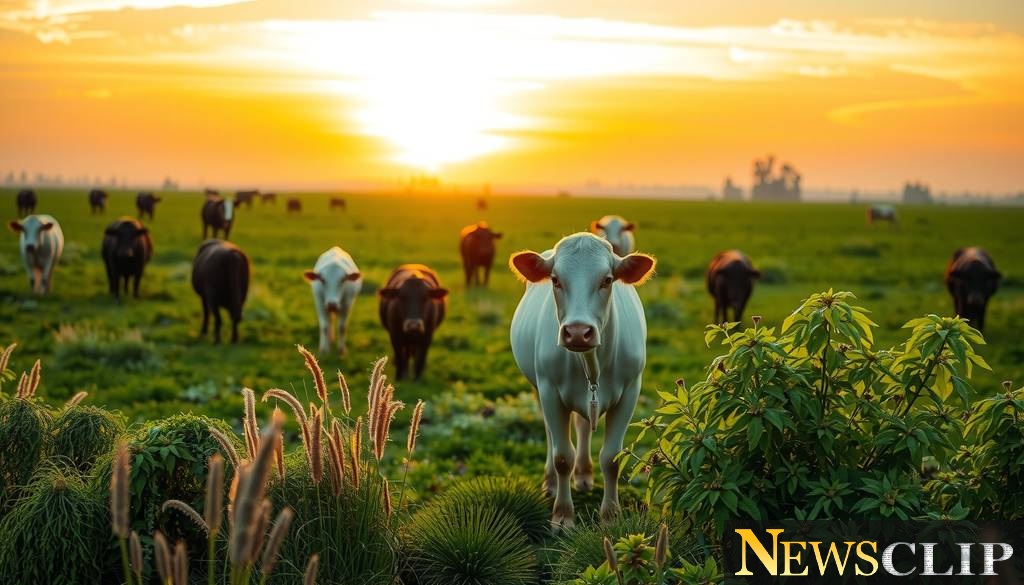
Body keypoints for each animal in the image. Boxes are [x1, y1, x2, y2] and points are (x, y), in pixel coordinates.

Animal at [508, 232, 656, 529]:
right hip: (539, 389)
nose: (578, 332)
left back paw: (585, 474)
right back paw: (551, 482)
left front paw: (610, 516)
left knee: (583, 426)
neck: (591, 363)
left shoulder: (630, 392)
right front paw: (563, 515)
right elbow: (562, 456)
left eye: (607, 280)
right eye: (555, 279)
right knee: (551, 435)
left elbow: (611, 458)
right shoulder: (549, 390)